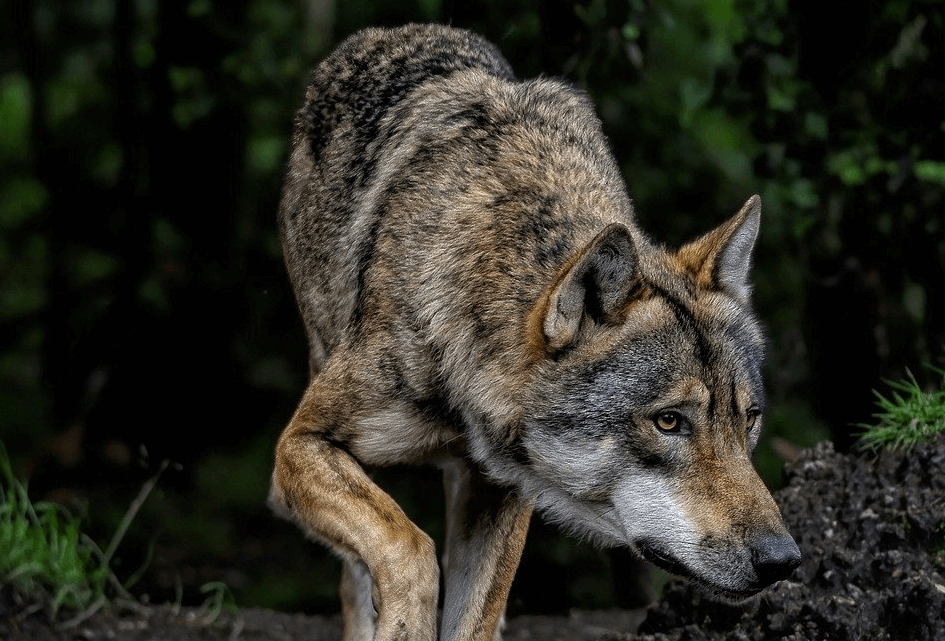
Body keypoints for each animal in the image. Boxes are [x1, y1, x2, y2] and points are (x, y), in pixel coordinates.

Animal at [269, 23, 800, 641]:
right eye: (669, 422)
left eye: (749, 418)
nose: (783, 559)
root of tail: (392, 32)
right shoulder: (300, 445)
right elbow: (407, 546)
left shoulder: (504, 489)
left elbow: (474, 615)